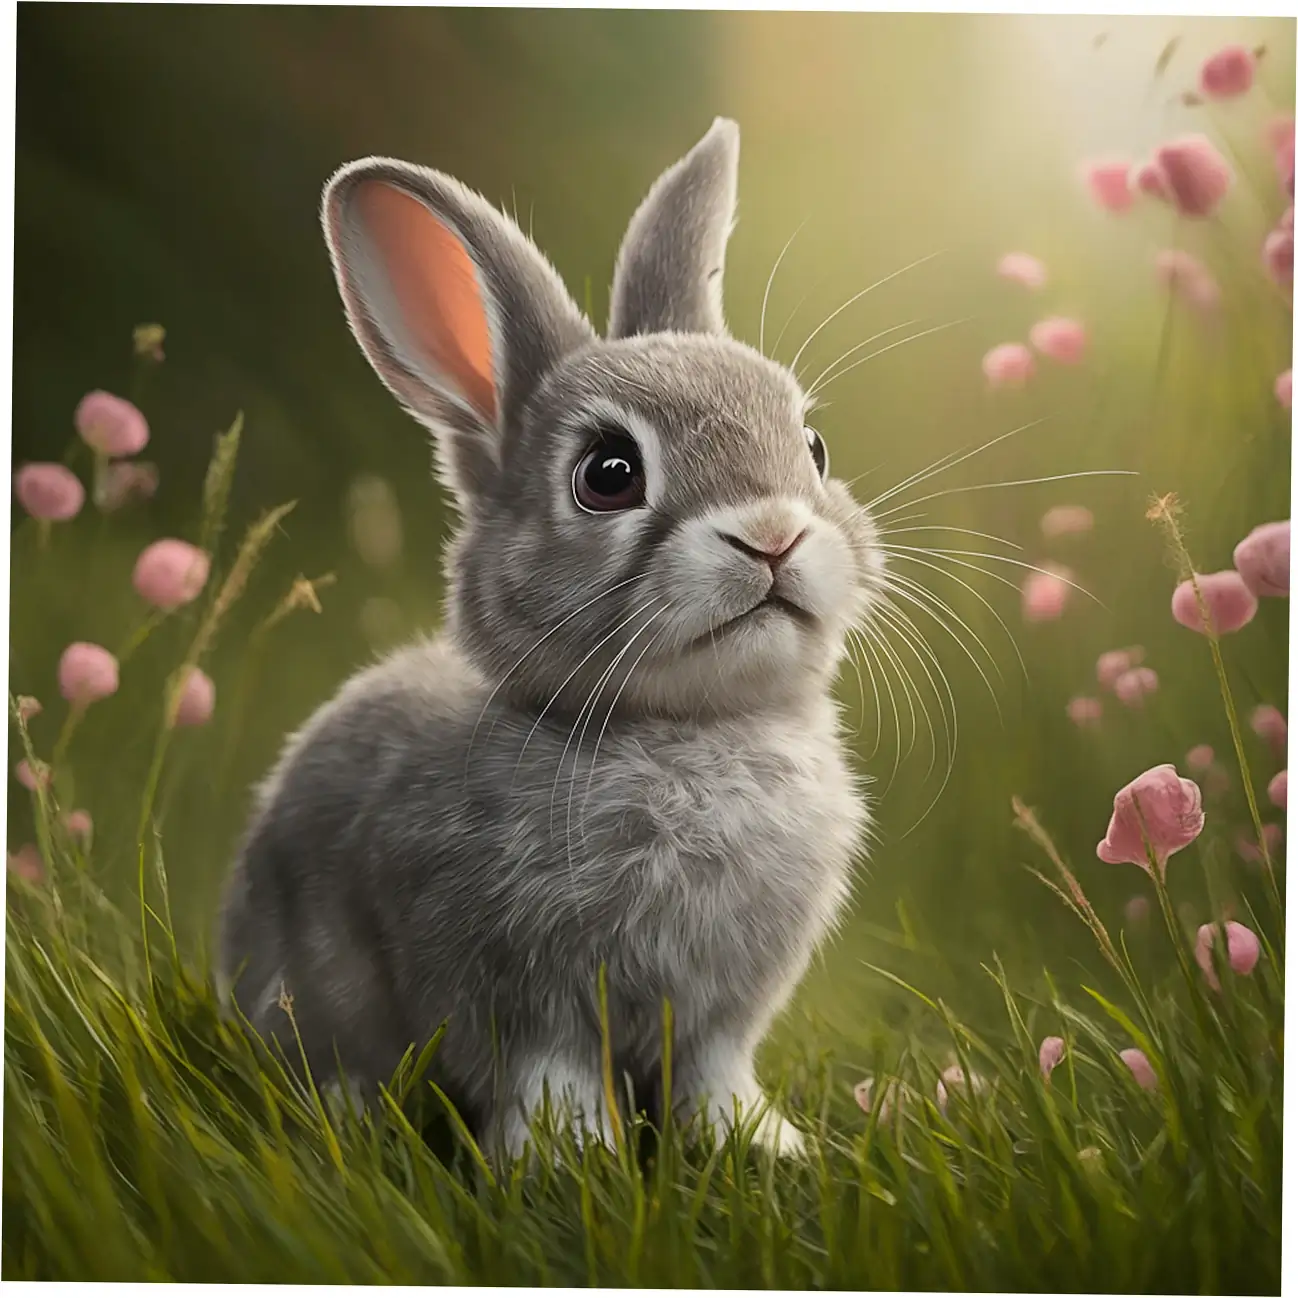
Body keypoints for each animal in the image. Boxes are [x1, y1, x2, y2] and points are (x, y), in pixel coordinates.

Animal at [217, 117, 886, 1163]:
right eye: (608, 475)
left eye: (814, 449)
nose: (773, 534)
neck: (688, 725)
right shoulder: (513, 994)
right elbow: (549, 1074)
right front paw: (569, 1161)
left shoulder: (719, 1015)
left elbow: (712, 1077)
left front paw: (761, 1146)